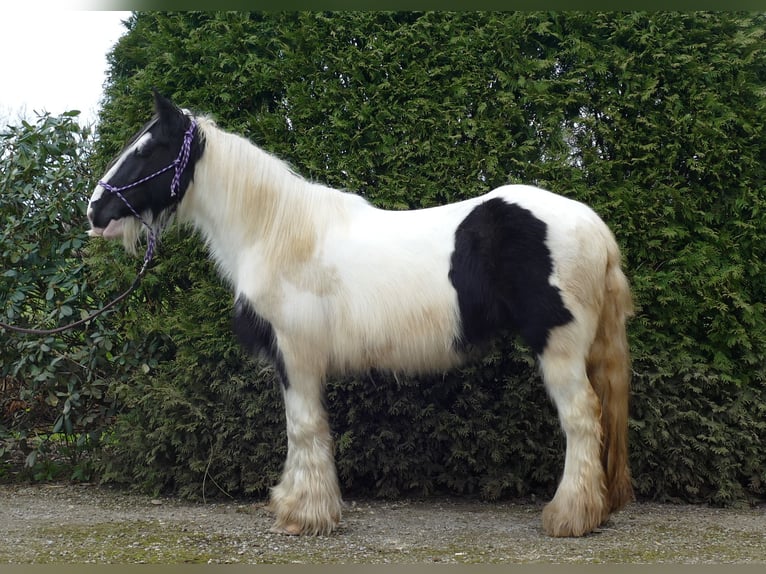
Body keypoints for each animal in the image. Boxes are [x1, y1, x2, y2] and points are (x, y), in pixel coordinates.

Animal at [88, 91, 636, 540]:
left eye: (146, 150)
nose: (94, 211)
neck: (277, 232)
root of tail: (593, 225)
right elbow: (301, 430)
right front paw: (294, 504)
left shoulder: (297, 355)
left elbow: (304, 427)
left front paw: (305, 515)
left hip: (559, 348)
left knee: (581, 418)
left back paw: (570, 517)